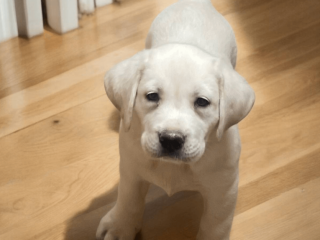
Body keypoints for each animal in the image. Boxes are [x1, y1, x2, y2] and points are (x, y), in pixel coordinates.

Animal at [97, 0, 255, 240]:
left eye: (202, 102)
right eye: (152, 96)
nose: (171, 139)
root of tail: (197, 3)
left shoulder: (224, 188)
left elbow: (215, 224)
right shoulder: (131, 170)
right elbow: (128, 199)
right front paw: (119, 226)